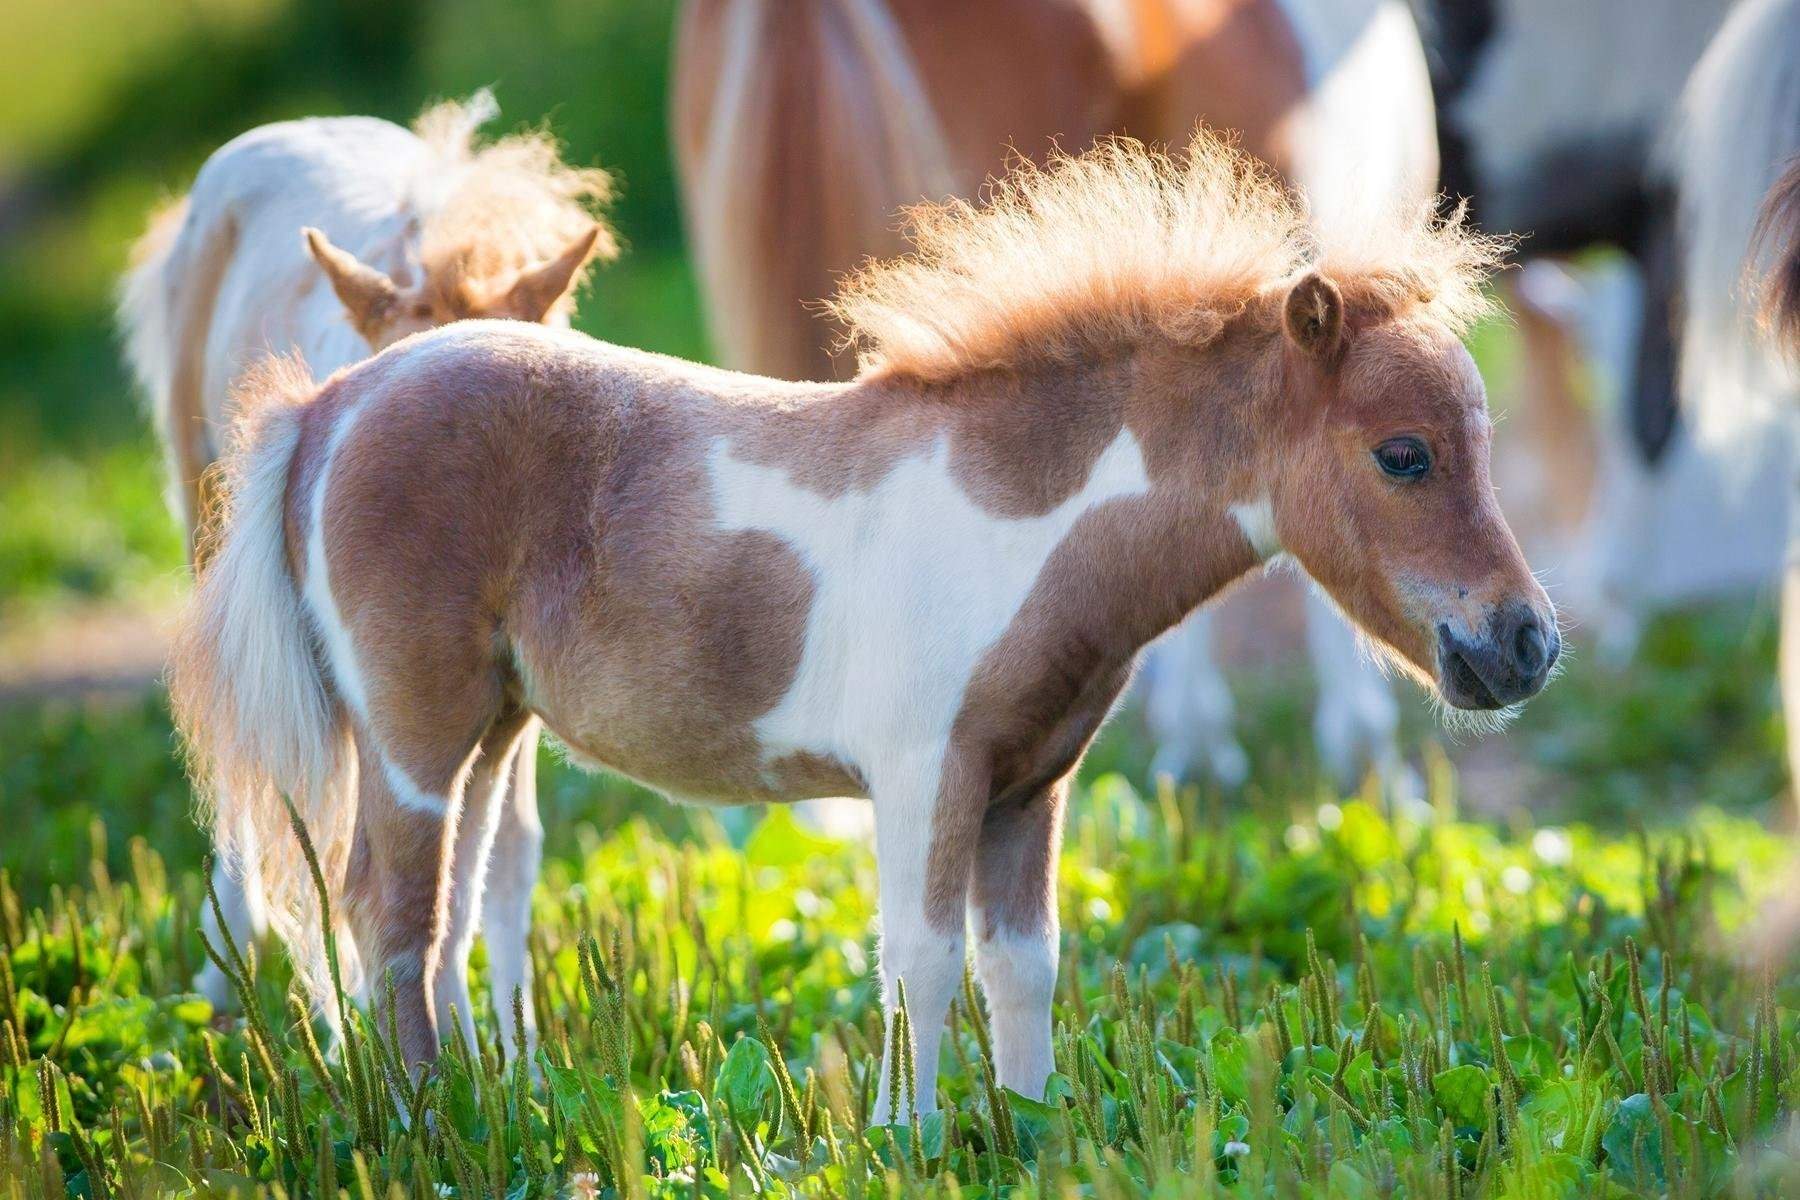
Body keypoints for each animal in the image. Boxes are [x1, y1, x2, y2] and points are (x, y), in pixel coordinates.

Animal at [171, 135, 1562, 1122]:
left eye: (1485, 439)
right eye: (1403, 454)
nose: (1526, 645)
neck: (1017, 516)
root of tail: (334, 403)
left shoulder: (1029, 787)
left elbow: (1023, 963)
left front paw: (1028, 1131)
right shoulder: (925, 772)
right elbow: (921, 960)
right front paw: (911, 1139)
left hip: (495, 731)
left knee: (452, 913)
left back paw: (486, 1106)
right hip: (411, 731)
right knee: (386, 913)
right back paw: (426, 1127)